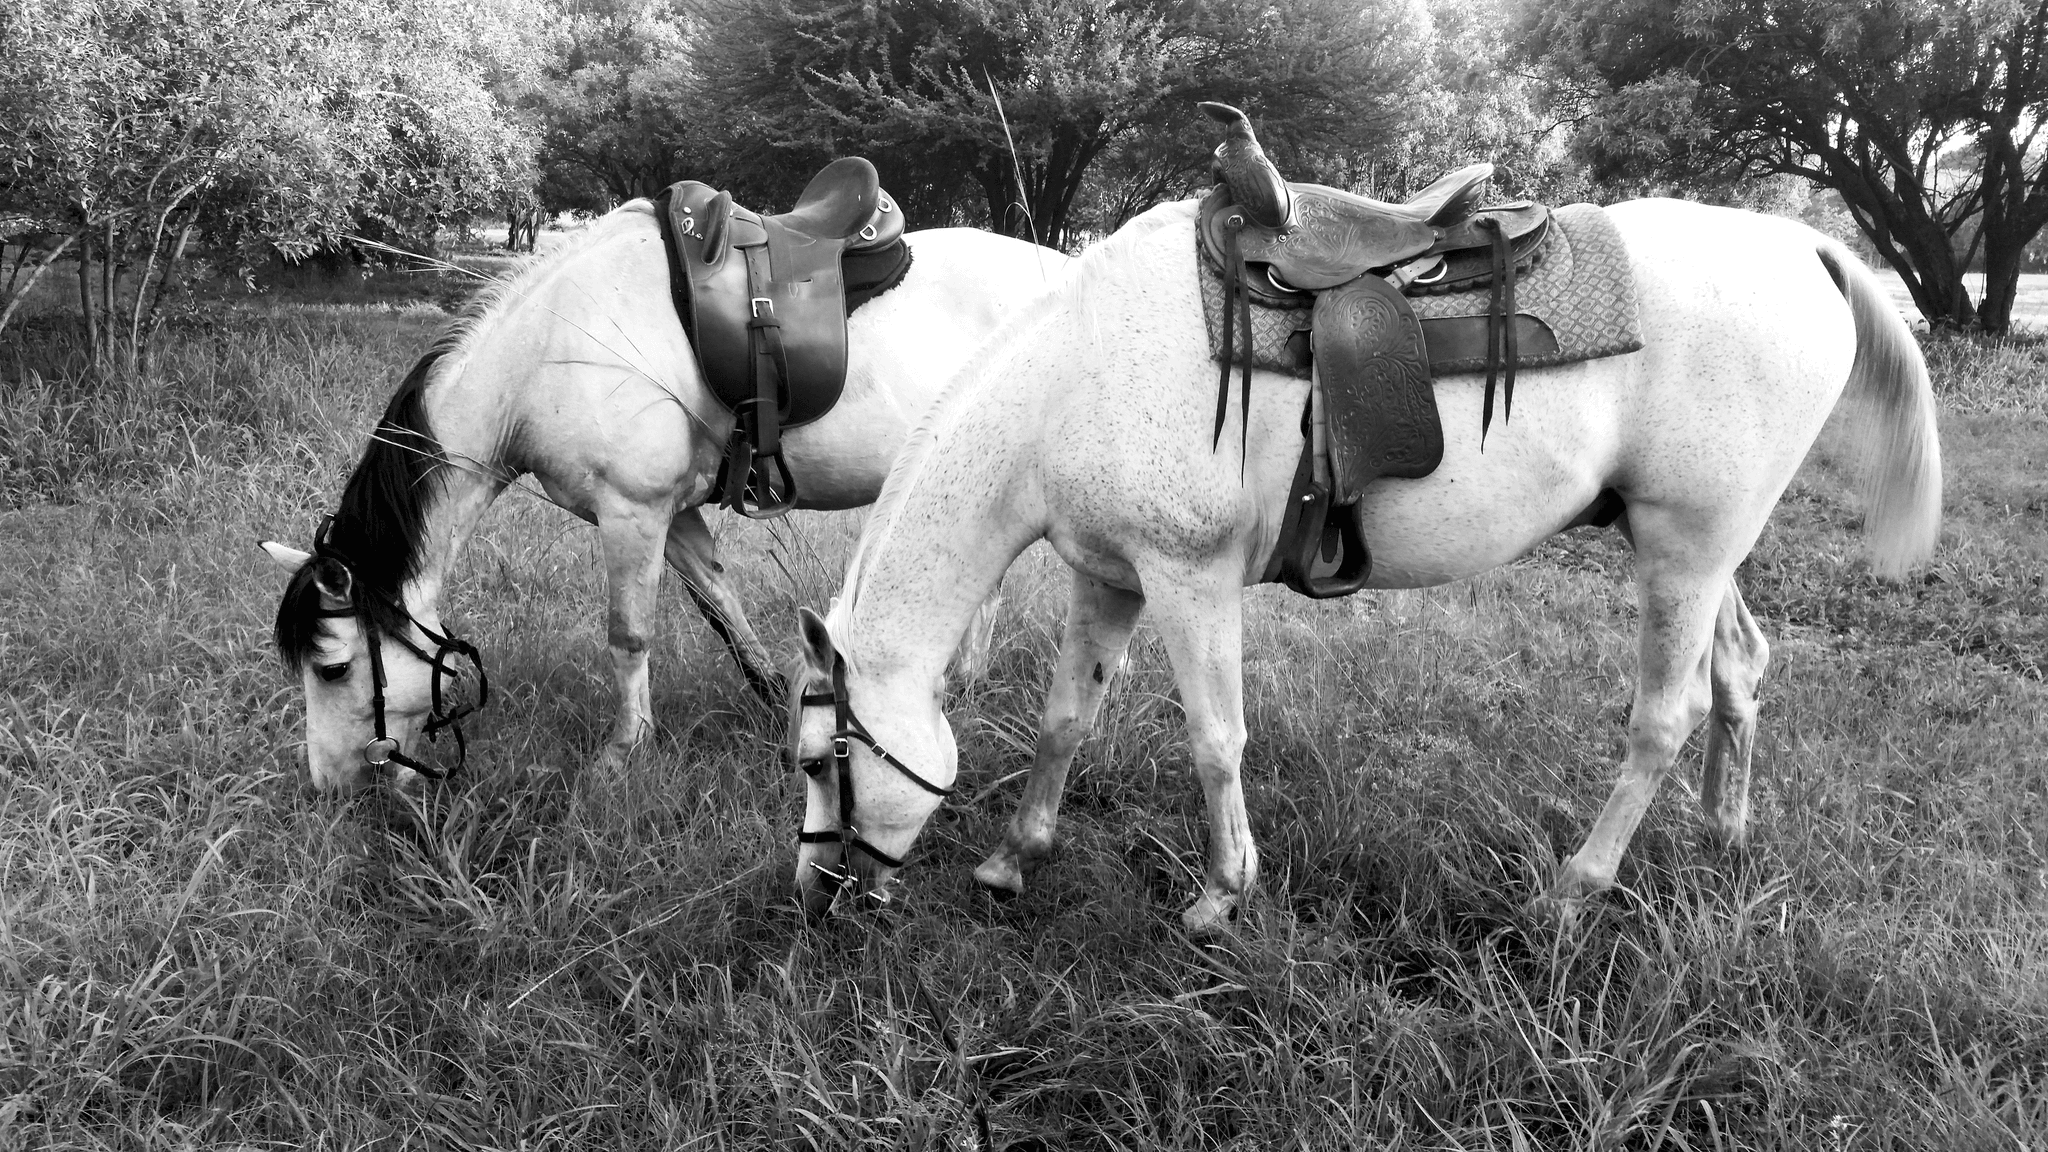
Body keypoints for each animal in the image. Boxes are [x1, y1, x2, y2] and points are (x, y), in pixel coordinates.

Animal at [260, 199, 1068, 792]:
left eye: (332, 668)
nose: (330, 786)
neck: (552, 347)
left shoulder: (632, 512)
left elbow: (628, 635)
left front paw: (623, 753)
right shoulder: (674, 518)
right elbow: (722, 608)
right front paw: (775, 700)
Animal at [782, 197, 1942, 929]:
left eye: (818, 761)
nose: (815, 894)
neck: (1077, 370)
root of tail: (1803, 246)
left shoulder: (1189, 580)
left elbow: (1215, 741)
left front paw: (1222, 894)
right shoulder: (1107, 576)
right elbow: (1067, 718)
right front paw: (1015, 857)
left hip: (1685, 552)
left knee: (1665, 717)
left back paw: (1575, 889)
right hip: (1695, 545)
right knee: (1740, 671)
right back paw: (1721, 834)